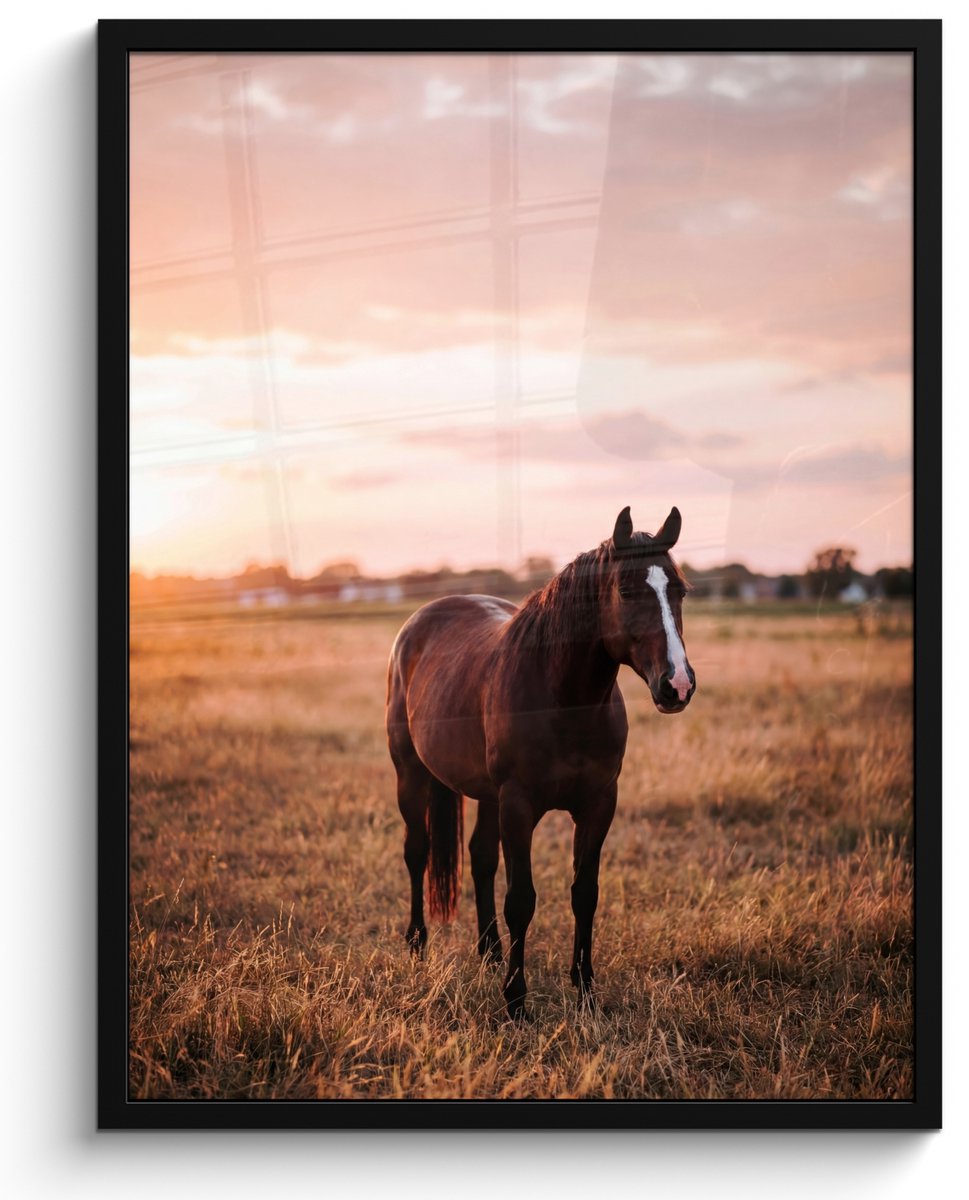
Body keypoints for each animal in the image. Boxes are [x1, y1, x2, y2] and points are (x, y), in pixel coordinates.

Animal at [385, 505, 696, 1020]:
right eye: (627, 590)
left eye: (680, 590)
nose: (678, 685)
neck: (562, 700)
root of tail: (420, 620)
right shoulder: (519, 805)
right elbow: (522, 900)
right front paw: (515, 1000)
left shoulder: (598, 805)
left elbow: (584, 893)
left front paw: (585, 990)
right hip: (411, 775)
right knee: (418, 851)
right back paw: (417, 944)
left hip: (486, 794)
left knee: (480, 857)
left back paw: (490, 951)